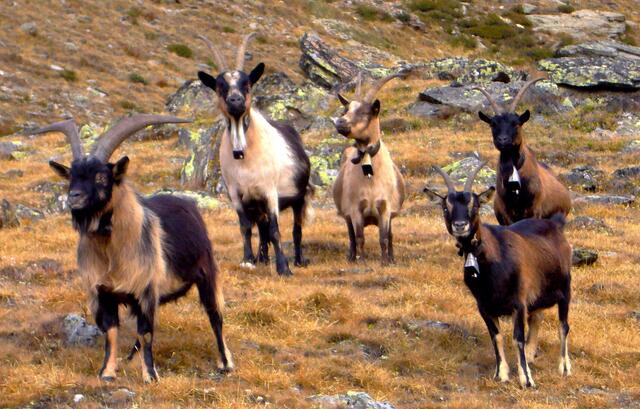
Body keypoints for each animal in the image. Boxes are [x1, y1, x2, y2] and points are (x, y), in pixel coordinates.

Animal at [32, 115, 233, 382]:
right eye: (72, 176)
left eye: (101, 177)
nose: (74, 197)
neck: (112, 254)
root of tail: (188, 204)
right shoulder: (104, 293)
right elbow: (111, 332)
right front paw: (107, 372)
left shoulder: (145, 290)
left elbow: (146, 332)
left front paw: (150, 375)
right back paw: (130, 358)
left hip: (207, 273)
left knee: (215, 316)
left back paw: (226, 363)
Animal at [197, 33, 313, 276]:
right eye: (220, 86)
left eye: (247, 84)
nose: (236, 101)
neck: (244, 154)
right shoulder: (237, 194)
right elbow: (245, 228)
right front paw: (248, 259)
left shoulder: (270, 192)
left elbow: (276, 230)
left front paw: (284, 268)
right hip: (257, 204)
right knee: (261, 229)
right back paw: (262, 258)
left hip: (298, 197)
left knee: (295, 230)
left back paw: (298, 260)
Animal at [332, 73, 406, 265]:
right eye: (345, 110)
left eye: (365, 112)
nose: (340, 122)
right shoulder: (355, 209)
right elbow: (359, 237)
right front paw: (363, 262)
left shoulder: (385, 208)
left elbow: (384, 237)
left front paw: (385, 262)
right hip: (346, 215)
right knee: (351, 236)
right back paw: (352, 257)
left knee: (390, 235)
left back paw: (392, 259)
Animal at [425, 162, 572, 388]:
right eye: (445, 207)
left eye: (475, 206)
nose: (460, 225)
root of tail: (555, 224)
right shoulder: (484, 306)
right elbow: (496, 337)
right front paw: (501, 374)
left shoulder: (518, 303)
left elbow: (517, 337)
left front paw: (527, 380)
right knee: (537, 317)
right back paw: (531, 355)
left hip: (565, 289)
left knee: (563, 327)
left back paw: (564, 368)